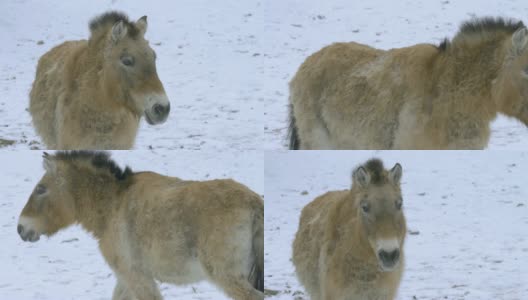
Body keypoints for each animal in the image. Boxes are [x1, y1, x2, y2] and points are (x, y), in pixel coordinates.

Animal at [17, 152, 264, 300]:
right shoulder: (126, 277)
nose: (21, 228)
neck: (112, 204)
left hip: (228, 277)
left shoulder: (136, 277)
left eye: (41, 189)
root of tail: (254, 202)